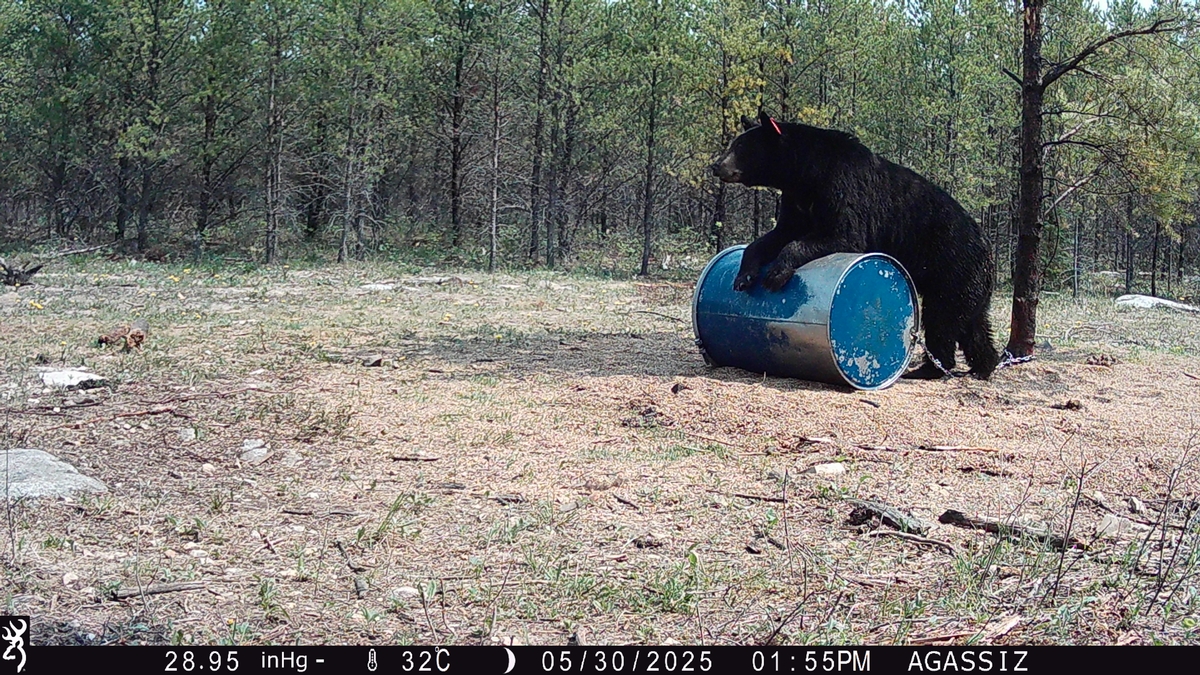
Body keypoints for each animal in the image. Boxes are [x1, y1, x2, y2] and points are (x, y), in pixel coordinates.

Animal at [710, 111, 999, 380]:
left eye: (740, 147)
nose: (716, 165)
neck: (806, 173)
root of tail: (987, 247)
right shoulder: (797, 201)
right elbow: (777, 235)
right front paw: (744, 276)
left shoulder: (843, 186)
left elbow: (843, 234)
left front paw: (776, 274)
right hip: (970, 283)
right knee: (973, 324)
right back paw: (984, 365)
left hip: (952, 267)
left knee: (942, 318)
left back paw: (929, 368)